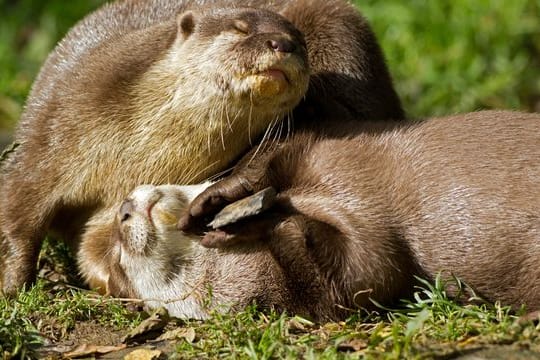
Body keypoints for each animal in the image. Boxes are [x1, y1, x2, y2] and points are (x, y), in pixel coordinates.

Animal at [0, 0, 404, 296]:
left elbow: (98, 249)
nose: (283, 44)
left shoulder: (109, 208)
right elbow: (18, 212)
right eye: (241, 28)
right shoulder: (52, 130)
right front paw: (10, 287)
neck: (136, 151)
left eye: (299, 42)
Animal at [108, 110, 540, 320]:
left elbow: (270, 157)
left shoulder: (319, 142)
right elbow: (356, 270)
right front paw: (263, 221)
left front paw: (217, 200)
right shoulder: (370, 275)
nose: (123, 211)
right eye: (118, 263)